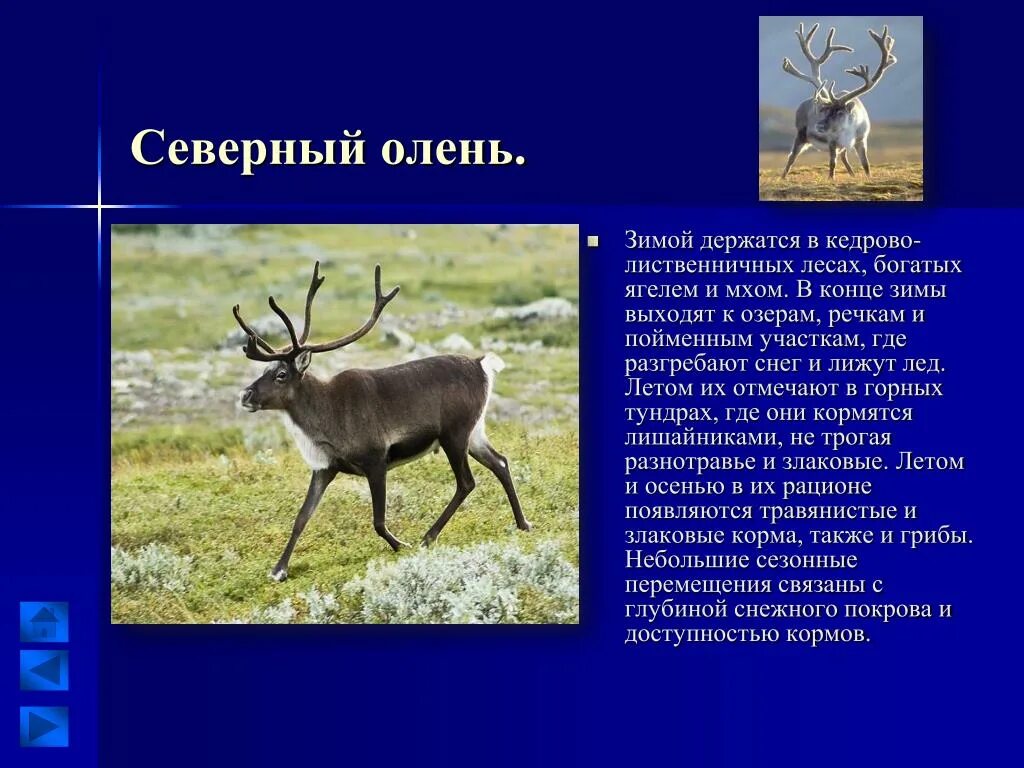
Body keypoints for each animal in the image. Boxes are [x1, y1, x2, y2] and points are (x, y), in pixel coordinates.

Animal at [232, 262, 532, 582]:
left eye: (281, 375)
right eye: (265, 370)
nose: (245, 394)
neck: (325, 415)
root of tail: (481, 364)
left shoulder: (376, 460)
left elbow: (377, 520)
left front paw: (402, 545)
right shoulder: (325, 468)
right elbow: (301, 517)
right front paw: (279, 569)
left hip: (454, 434)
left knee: (466, 482)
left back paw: (428, 537)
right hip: (474, 433)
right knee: (500, 463)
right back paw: (523, 523)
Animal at [780, 22, 897, 180]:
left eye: (840, 112)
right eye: (826, 110)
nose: (819, 126)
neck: (848, 130)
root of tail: (801, 104)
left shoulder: (861, 140)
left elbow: (866, 163)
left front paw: (869, 177)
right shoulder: (832, 141)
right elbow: (832, 163)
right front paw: (831, 178)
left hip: (841, 146)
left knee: (843, 157)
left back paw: (852, 174)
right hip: (801, 135)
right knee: (791, 157)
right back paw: (783, 177)